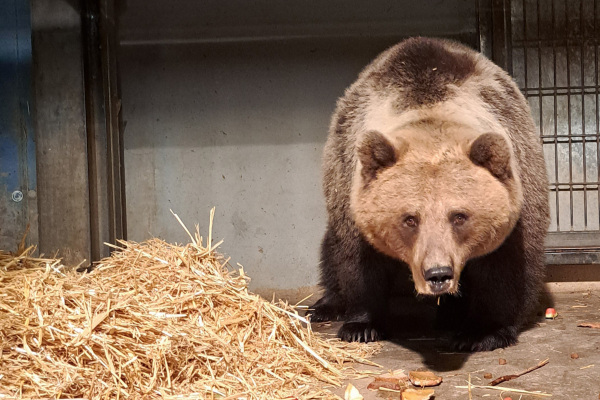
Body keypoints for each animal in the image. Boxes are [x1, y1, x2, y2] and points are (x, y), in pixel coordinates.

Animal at [312, 36, 552, 350]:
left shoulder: (519, 190)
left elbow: (505, 265)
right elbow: (358, 262)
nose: (438, 274)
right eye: (409, 218)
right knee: (329, 250)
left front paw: (483, 332)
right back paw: (324, 306)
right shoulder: (351, 192)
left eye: (459, 216)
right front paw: (361, 326)